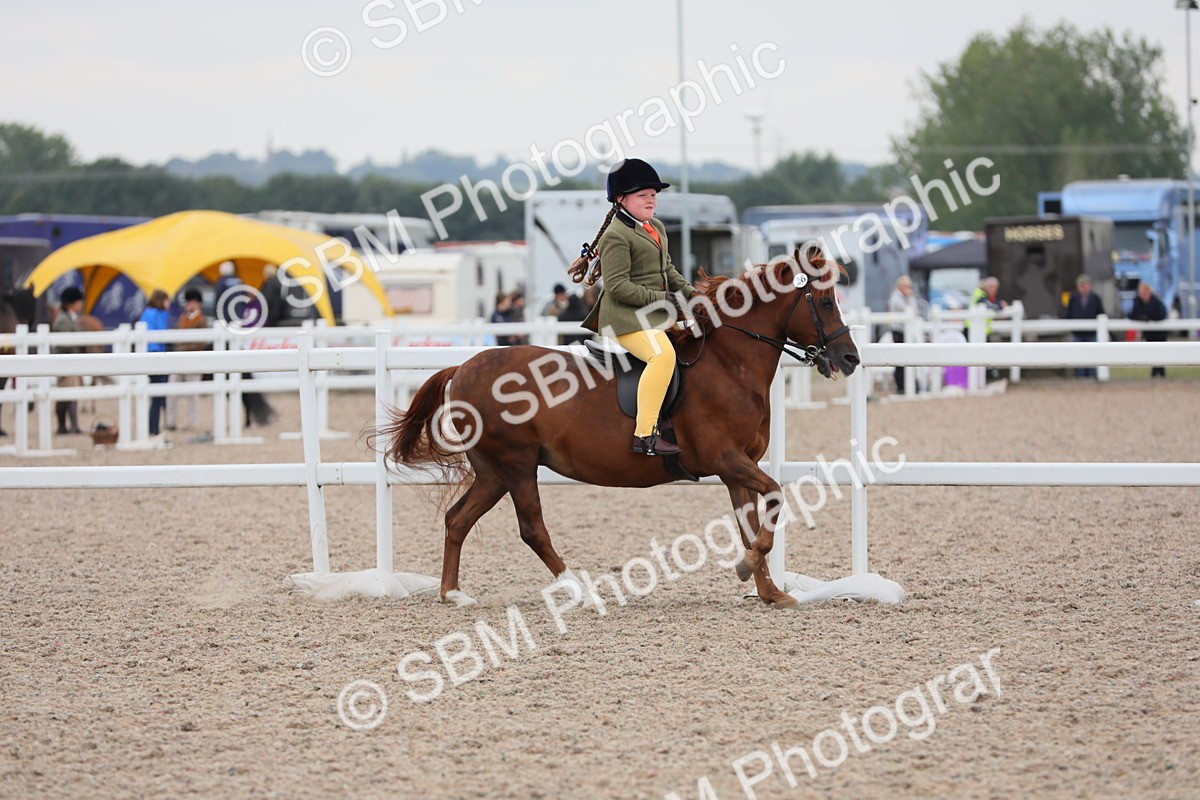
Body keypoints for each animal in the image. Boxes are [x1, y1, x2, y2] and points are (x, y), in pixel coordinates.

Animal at [382, 251, 860, 609]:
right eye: (824, 302)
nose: (850, 358)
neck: (729, 365)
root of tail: (463, 366)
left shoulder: (736, 470)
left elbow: (751, 525)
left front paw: (770, 591)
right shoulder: (725, 459)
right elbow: (776, 496)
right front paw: (747, 570)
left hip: (493, 470)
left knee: (458, 519)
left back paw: (452, 593)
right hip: (516, 464)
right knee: (532, 528)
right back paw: (582, 592)